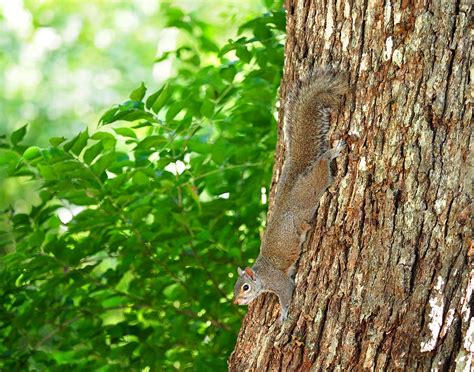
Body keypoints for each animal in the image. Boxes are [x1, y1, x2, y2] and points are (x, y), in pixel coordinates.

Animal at [233, 70, 348, 322]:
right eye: (234, 287)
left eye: (245, 287)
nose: (236, 301)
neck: (262, 274)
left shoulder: (280, 281)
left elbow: (286, 293)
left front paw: (284, 314)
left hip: (312, 187)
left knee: (323, 163)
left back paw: (333, 151)